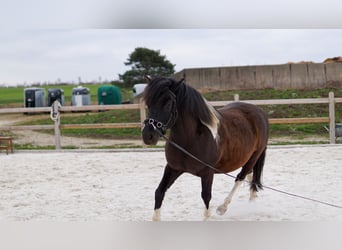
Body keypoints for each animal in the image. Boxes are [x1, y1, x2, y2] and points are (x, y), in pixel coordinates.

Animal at [142, 76, 270, 221]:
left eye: (168, 103)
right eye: (149, 103)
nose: (148, 135)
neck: (191, 139)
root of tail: (260, 112)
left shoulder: (207, 173)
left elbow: (206, 197)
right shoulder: (173, 168)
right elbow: (159, 192)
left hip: (254, 156)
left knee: (240, 177)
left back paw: (223, 207)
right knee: (251, 176)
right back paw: (252, 201)